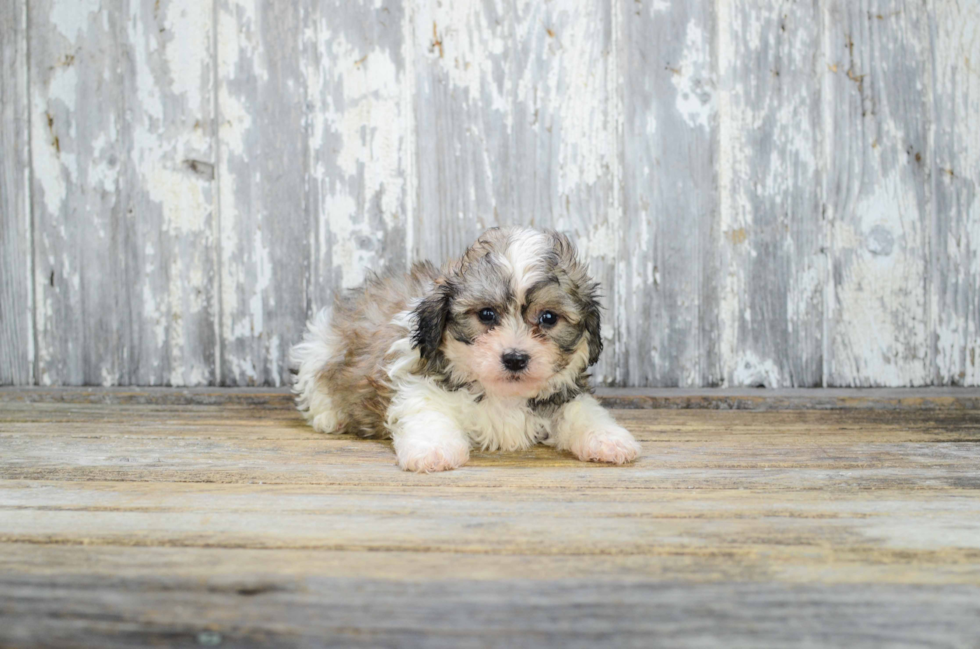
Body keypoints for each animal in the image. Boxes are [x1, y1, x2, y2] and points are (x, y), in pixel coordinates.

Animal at [290, 227, 644, 470]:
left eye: (548, 318)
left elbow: (584, 412)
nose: (515, 358)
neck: (503, 395)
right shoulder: (420, 384)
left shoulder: (563, 394)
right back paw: (330, 416)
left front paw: (609, 440)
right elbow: (428, 415)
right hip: (319, 349)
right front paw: (433, 450)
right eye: (486, 315)